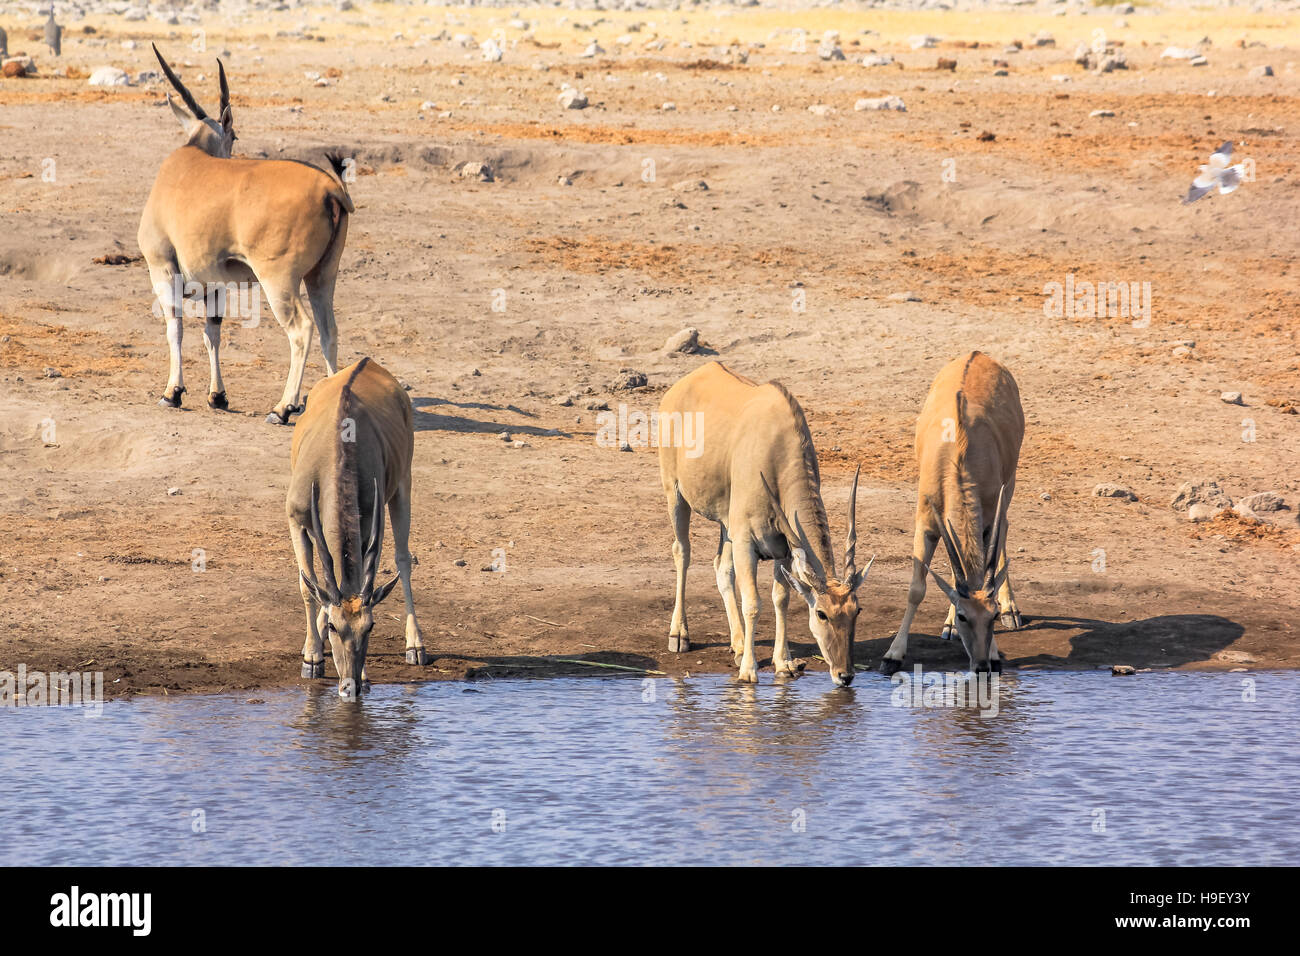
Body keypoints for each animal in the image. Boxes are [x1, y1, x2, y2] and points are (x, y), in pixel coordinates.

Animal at [138, 44, 356, 426]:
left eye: (234, 135)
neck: (190, 158)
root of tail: (331, 189)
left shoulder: (163, 268)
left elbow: (175, 326)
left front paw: (172, 393)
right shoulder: (213, 284)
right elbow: (212, 332)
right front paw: (217, 396)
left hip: (278, 279)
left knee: (302, 329)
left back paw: (282, 408)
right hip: (321, 277)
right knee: (329, 330)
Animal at [287, 356, 428, 697]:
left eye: (370, 627)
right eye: (335, 627)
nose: (350, 685)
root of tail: (368, 362)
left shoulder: (367, 524)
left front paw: (363, 674)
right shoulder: (296, 518)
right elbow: (308, 586)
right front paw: (312, 657)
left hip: (402, 486)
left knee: (403, 559)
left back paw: (415, 645)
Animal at [660, 361, 873, 686]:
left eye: (857, 610)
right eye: (821, 613)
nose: (845, 675)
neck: (777, 450)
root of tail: (682, 384)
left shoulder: (782, 547)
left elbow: (780, 598)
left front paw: (783, 663)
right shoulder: (746, 541)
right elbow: (753, 603)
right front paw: (749, 671)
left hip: (726, 524)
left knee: (721, 567)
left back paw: (737, 645)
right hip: (676, 494)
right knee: (682, 551)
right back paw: (679, 635)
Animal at [883, 348, 1024, 671]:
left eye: (992, 616)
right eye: (963, 616)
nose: (983, 665)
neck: (957, 451)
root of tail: (978, 354)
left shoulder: (988, 520)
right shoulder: (925, 524)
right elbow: (917, 588)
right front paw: (893, 654)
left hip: (1009, 484)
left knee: (1006, 530)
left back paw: (1013, 609)